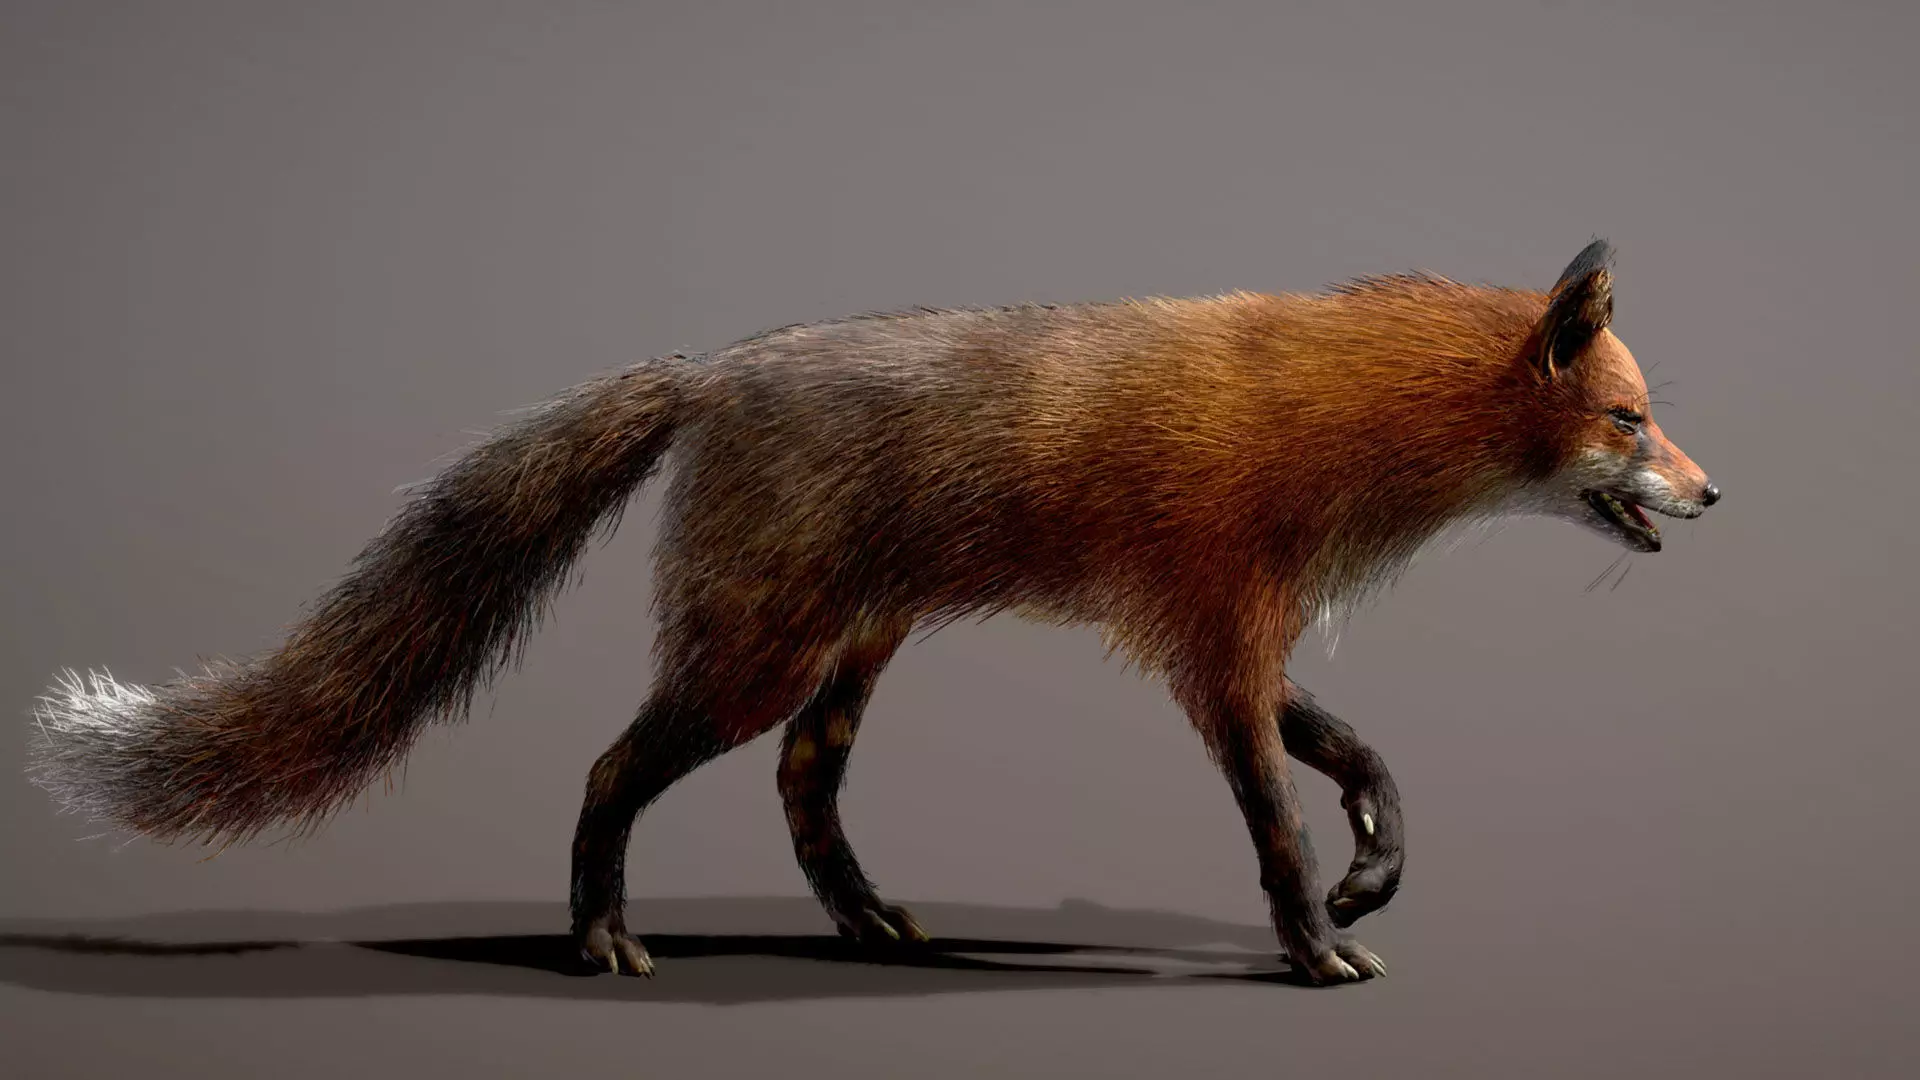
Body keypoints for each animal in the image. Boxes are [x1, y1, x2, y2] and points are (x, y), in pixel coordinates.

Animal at [25, 238, 1717, 986]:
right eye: (1631, 421)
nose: (1717, 495)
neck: (1325, 420)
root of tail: (709, 370)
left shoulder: (1220, 637)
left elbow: (1367, 765)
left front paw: (1376, 881)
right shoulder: (1214, 642)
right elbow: (1281, 821)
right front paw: (1316, 946)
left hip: (841, 658)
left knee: (802, 790)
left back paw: (872, 925)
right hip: (754, 655)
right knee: (612, 770)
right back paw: (602, 937)